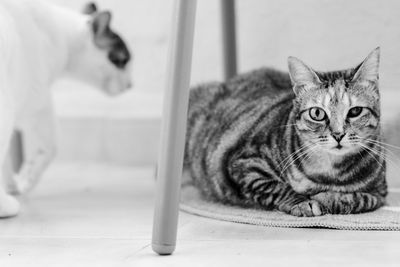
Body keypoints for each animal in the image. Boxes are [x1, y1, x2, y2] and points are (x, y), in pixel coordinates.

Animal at [185, 47, 388, 216]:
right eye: (317, 113)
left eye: (355, 111)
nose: (338, 135)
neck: (330, 172)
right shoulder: (244, 163)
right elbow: (275, 187)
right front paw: (303, 202)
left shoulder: (380, 193)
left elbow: (359, 198)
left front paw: (326, 198)